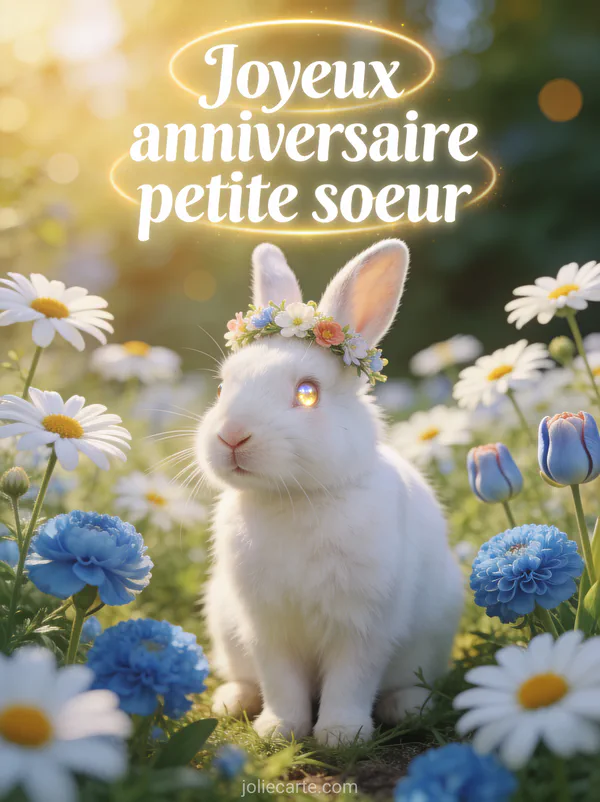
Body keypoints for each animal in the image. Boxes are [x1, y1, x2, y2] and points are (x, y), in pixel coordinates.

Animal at [196, 239, 464, 745]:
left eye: (307, 393)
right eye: (221, 389)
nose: (232, 436)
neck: (296, 497)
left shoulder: (362, 625)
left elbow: (350, 680)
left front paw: (341, 735)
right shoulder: (266, 627)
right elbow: (281, 682)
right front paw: (279, 731)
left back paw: (408, 708)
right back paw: (232, 700)